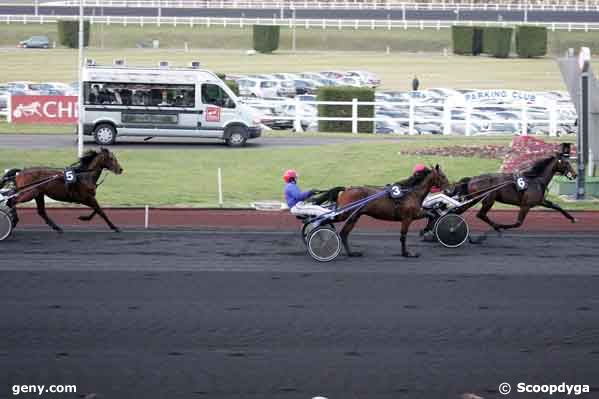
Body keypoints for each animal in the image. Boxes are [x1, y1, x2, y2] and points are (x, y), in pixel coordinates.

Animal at [316, 166, 448, 260]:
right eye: (442, 176)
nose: (449, 189)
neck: (411, 193)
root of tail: (347, 189)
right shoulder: (408, 217)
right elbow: (403, 235)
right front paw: (407, 253)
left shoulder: (414, 215)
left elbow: (432, 214)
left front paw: (428, 231)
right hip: (347, 214)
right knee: (328, 221)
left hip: (354, 216)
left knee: (343, 234)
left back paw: (352, 253)